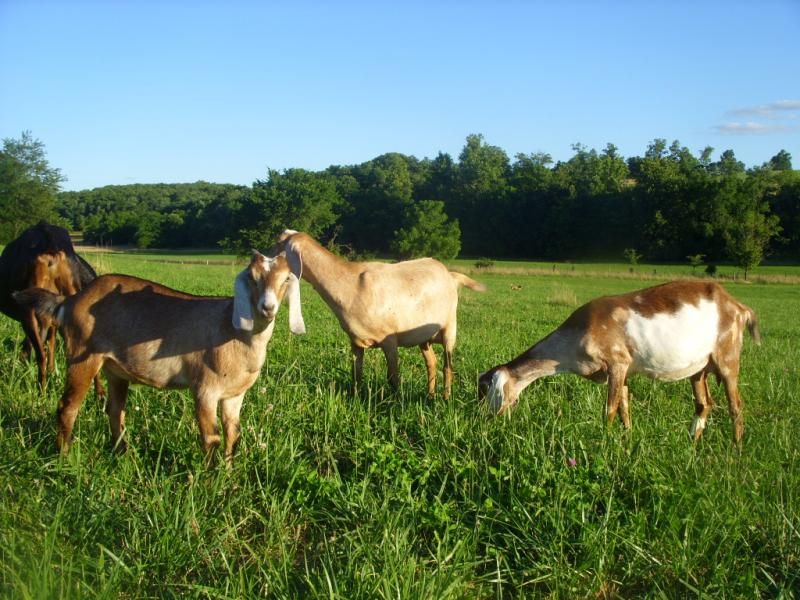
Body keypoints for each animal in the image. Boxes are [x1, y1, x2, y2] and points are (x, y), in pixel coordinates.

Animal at [13, 251, 305, 464]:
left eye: (285, 279)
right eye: (253, 278)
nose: (267, 308)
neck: (232, 331)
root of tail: (70, 301)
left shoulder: (235, 394)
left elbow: (233, 434)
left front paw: (229, 476)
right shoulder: (205, 388)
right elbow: (211, 438)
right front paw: (211, 484)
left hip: (113, 369)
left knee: (115, 410)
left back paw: (122, 455)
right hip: (81, 357)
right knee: (67, 407)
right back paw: (64, 458)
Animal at [274, 230, 485, 399]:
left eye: (279, 244)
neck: (350, 284)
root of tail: (450, 275)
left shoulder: (389, 340)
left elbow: (392, 377)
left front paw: (395, 402)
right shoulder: (355, 341)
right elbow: (356, 374)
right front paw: (356, 399)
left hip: (449, 328)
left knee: (448, 367)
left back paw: (445, 398)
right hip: (424, 337)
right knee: (431, 363)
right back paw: (430, 395)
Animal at [478, 280, 760, 443]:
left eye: (486, 391)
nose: (484, 420)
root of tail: (740, 308)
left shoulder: (617, 363)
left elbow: (610, 409)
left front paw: (604, 443)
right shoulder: (625, 373)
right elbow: (625, 408)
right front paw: (626, 442)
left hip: (727, 356)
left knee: (736, 406)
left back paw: (735, 451)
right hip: (699, 367)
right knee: (704, 404)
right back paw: (692, 444)